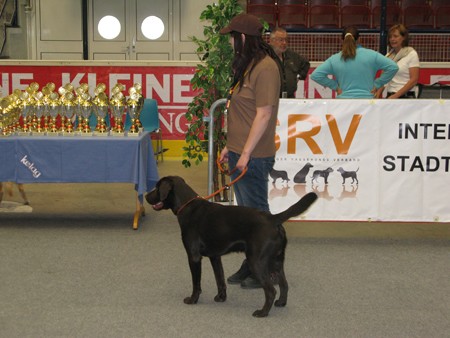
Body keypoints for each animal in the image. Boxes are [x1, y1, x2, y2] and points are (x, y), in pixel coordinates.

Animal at [144, 177, 316, 316]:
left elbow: (196, 283)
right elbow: (220, 279)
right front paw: (221, 298)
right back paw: (281, 303)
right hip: (277, 261)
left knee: (271, 290)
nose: (145, 196)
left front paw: (192, 300)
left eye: (157, 187)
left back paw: (263, 313)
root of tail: (273, 218)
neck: (187, 206)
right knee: (284, 285)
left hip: (257, 261)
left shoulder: (193, 257)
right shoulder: (215, 257)